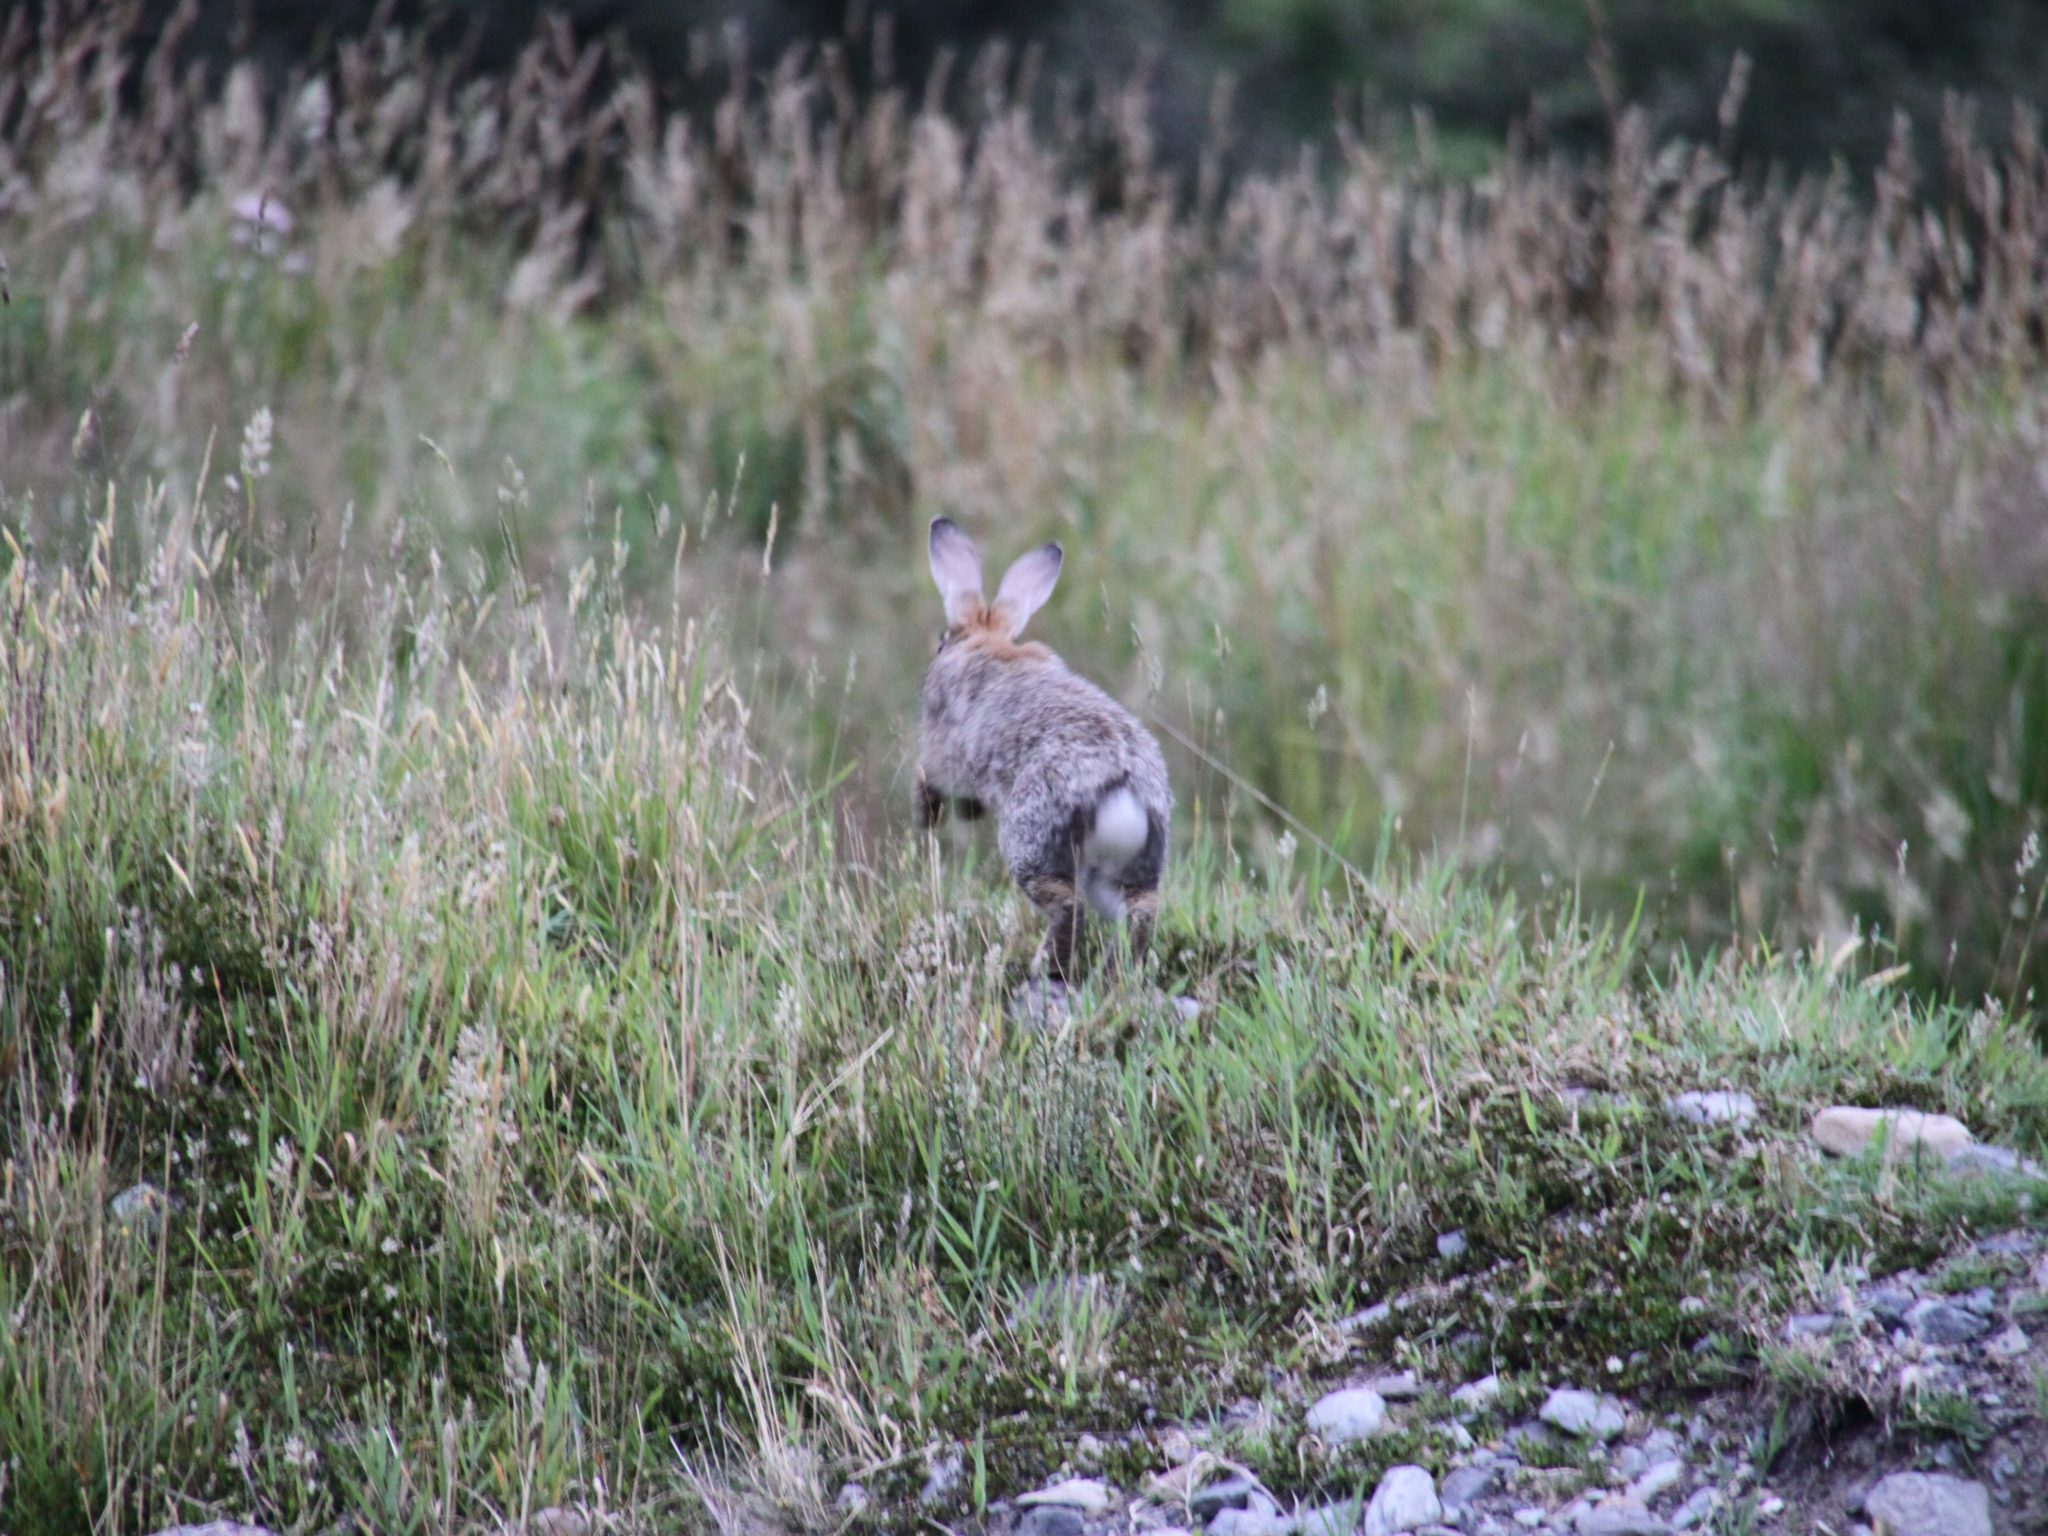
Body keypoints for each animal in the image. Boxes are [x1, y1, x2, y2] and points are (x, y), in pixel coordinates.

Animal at [917, 517, 1171, 981]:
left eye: (942, 642)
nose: (940, 646)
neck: (988, 641)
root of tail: (1121, 788)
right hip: (1124, 868)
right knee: (1139, 911)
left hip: (1033, 841)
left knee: (1068, 907)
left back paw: (1043, 968)